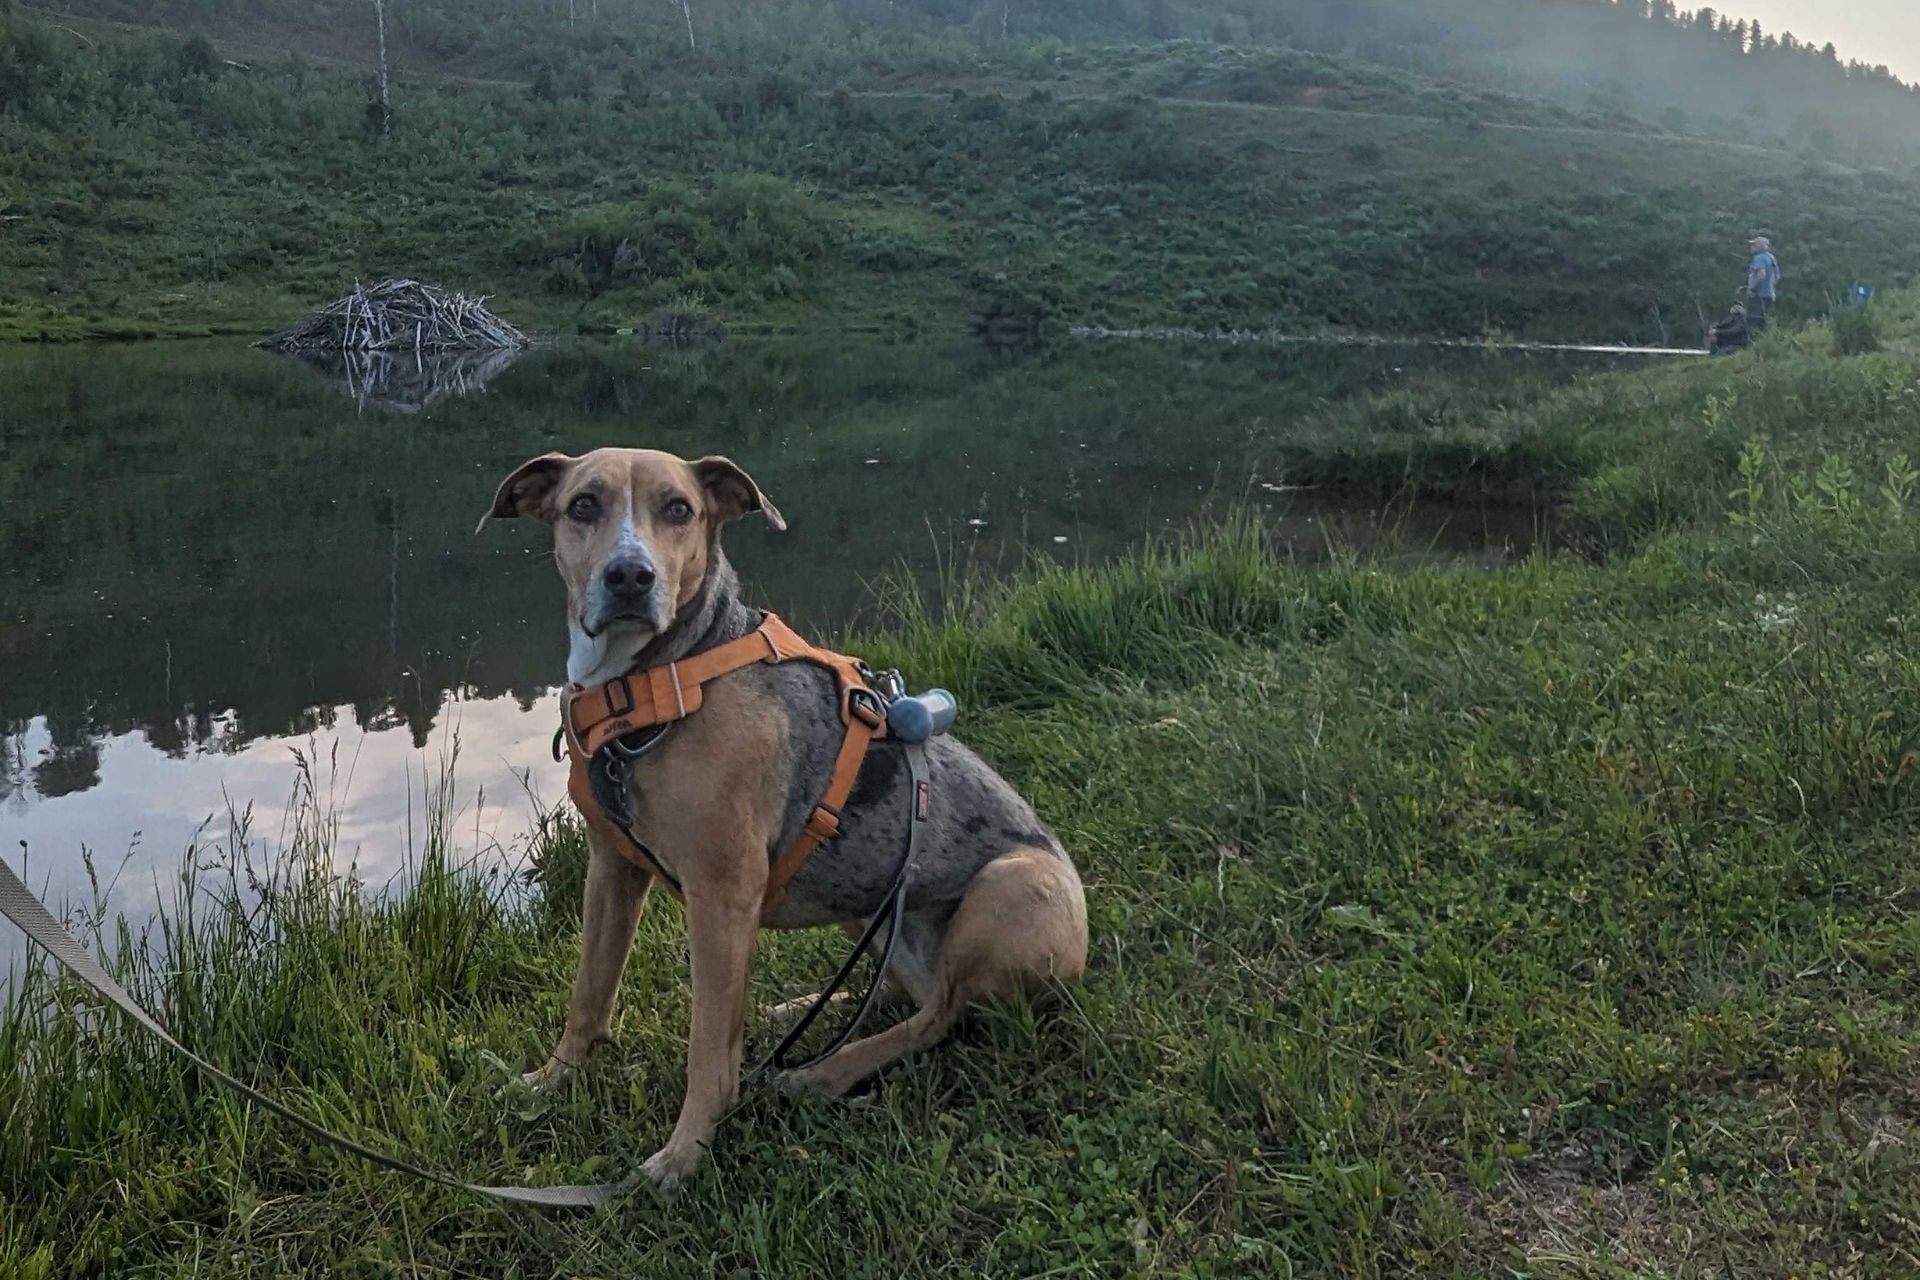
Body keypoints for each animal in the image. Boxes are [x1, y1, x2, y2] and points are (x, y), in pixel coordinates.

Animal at [483, 450, 1098, 1189]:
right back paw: (804, 1012)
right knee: (898, 987)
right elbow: (589, 994)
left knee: (939, 1014)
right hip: (870, 898)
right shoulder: (611, 870)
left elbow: (708, 1050)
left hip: (1011, 887)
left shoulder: (722, 895)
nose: (630, 576)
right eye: (582, 505)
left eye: (679, 509)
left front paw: (684, 1155)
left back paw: (825, 1074)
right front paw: (552, 1080)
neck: (653, 683)